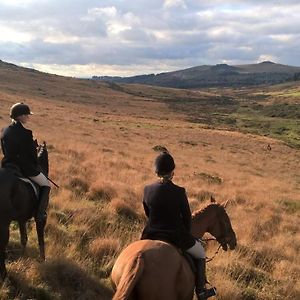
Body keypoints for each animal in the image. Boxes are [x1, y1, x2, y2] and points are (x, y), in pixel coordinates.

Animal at [0, 142, 49, 280]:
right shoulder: (40, 218)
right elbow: (40, 238)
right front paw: (43, 259)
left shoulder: (21, 219)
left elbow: (24, 239)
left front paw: (23, 257)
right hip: (4, 224)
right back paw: (4, 275)